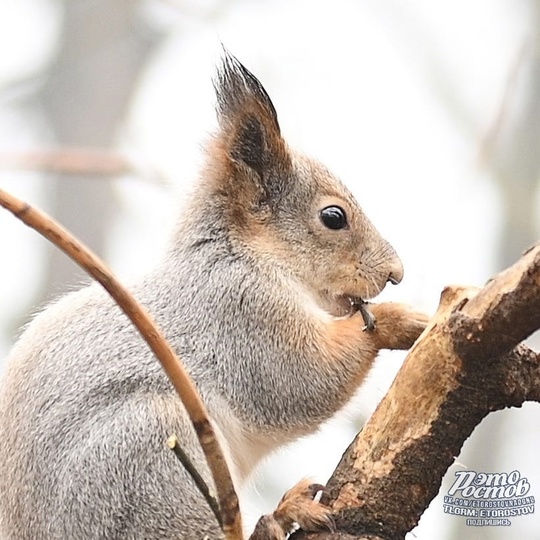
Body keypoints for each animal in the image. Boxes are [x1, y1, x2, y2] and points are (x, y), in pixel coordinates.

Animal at [1, 51, 430, 540]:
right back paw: (278, 516)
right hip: (147, 460)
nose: (395, 274)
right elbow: (304, 378)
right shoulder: (241, 312)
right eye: (333, 217)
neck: (241, 253)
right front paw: (400, 319)